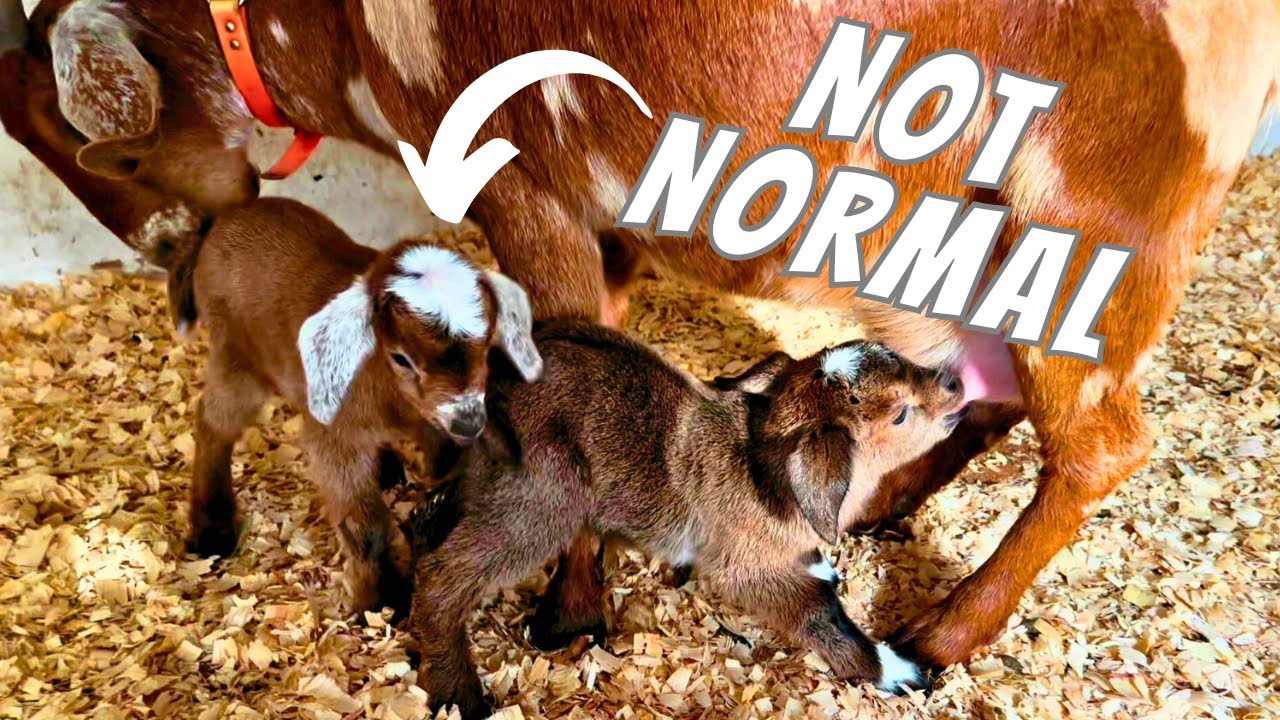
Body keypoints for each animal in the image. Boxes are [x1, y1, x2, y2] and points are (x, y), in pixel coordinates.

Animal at [168, 196, 542, 615]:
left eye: (487, 344)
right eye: (401, 358)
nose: (469, 423)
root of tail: (223, 218)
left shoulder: (434, 425)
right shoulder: (335, 438)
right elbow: (366, 526)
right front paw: (382, 599)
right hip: (237, 357)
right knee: (214, 423)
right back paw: (212, 529)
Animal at [407, 320, 966, 718]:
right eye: (900, 414)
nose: (956, 384)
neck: (767, 472)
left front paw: (823, 566)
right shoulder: (743, 566)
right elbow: (817, 612)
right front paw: (893, 670)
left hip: (492, 479)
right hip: (543, 499)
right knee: (441, 574)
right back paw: (458, 694)